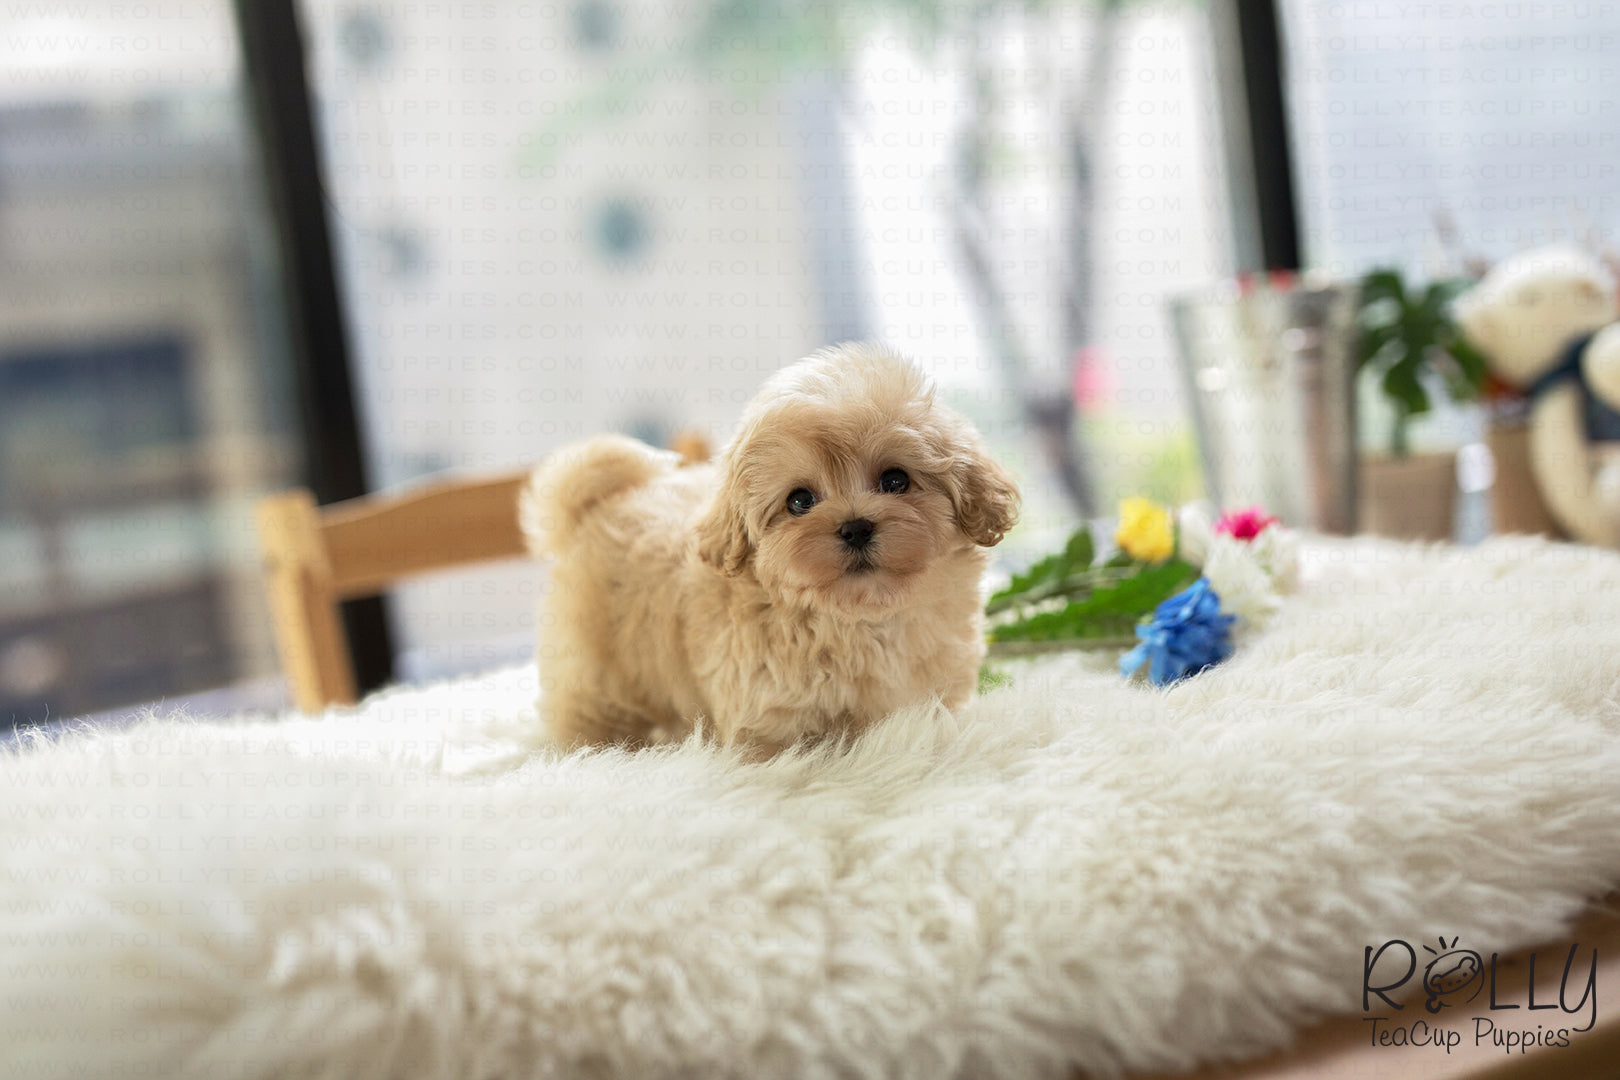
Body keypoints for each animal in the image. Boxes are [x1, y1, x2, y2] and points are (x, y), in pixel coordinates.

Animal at [524, 341, 1017, 757]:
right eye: (799, 501)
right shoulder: (768, 717)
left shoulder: (932, 692)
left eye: (896, 480)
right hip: (596, 670)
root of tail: (599, 503)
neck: (861, 622)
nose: (855, 527)